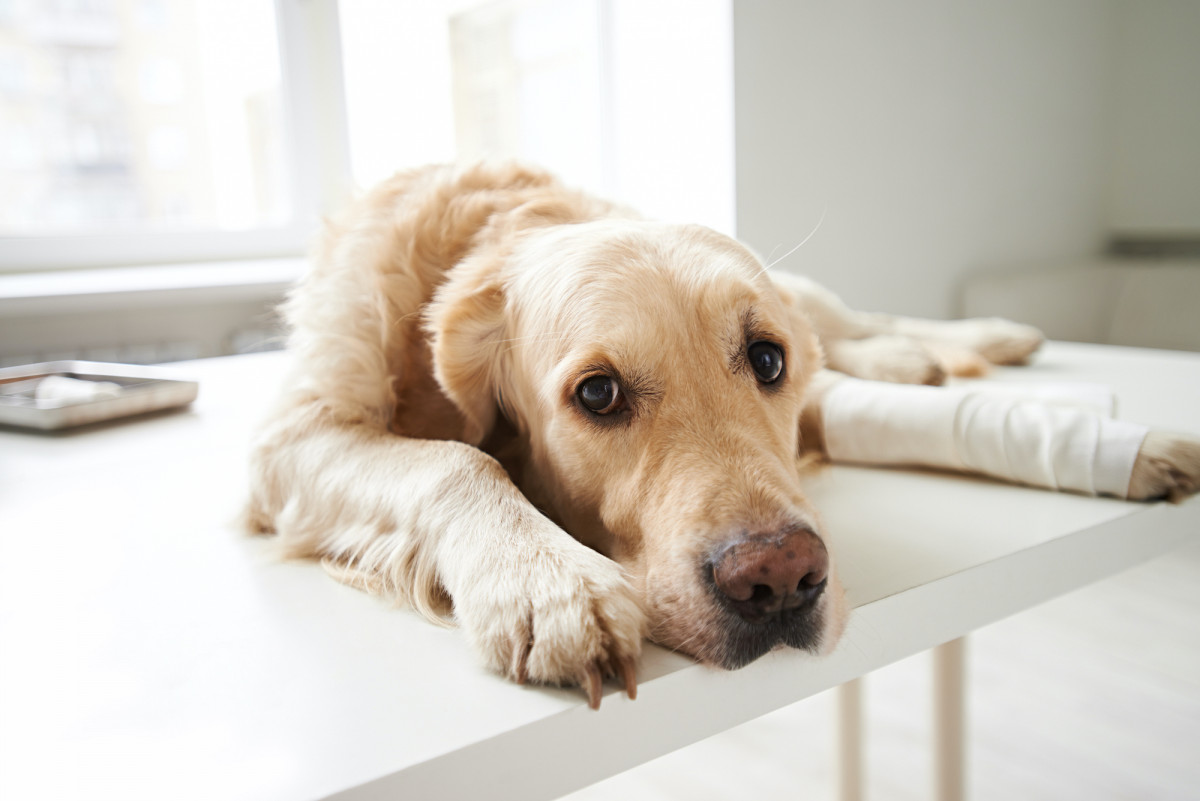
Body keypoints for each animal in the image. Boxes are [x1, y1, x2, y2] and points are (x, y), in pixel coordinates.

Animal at [246, 163, 1200, 705]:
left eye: (766, 359)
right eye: (598, 392)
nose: (781, 579)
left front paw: (1133, 446)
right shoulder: (291, 438)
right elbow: (455, 458)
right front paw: (548, 581)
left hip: (811, 296)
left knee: (854, 320)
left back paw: (982, 339)